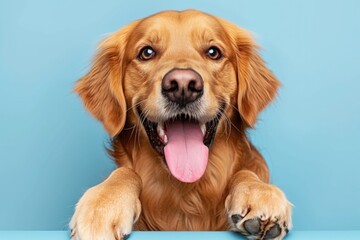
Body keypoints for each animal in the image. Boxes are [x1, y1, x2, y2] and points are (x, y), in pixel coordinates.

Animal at [69, 9, 292, 240]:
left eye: (213, 52)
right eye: (146, 52)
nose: (183, 85)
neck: (185, 192)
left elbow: (245, 172)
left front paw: (259, 193)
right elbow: (126, 172)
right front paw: (101, 206)